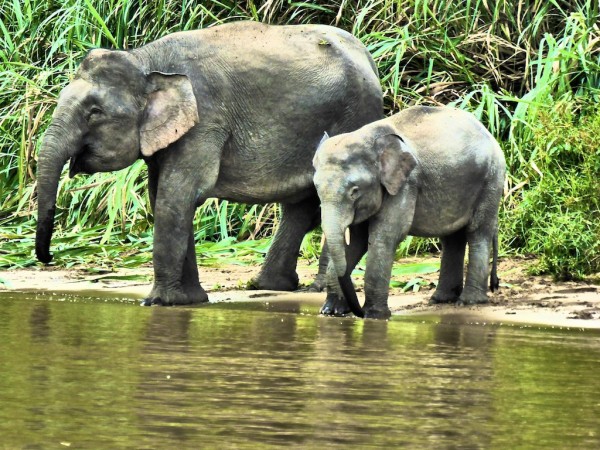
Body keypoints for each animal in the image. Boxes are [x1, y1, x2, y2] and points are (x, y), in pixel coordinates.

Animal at [36, 21, 384, 306]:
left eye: (94, 112)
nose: (49, 258)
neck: (146, 60)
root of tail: (368, 57)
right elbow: (163, 196)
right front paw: (190, 300)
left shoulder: (205, 121)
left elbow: (177, 196)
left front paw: (158, 302)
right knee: (300, 206)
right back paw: (270, 285)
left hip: (354, 116)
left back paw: (316, 289)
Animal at [314, 104, 506, 320]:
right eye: (316, 187)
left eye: (354, 191)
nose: (358, 311)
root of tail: (489, 134)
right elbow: (357, 241)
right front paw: (331, 311)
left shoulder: (406, 184)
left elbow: (385, 237)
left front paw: (375, 315)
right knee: (452, 238)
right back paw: (441, 299)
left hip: (491, 179)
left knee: (478, 232)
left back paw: (469, 302)